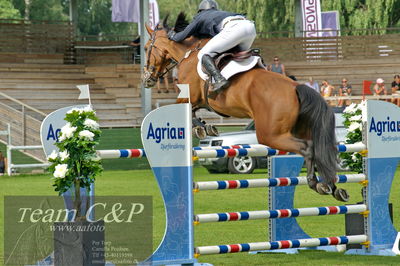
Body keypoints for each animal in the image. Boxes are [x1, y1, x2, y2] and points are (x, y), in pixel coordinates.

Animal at [143, 16, 346, 202]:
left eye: (145, 48)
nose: (147, 79)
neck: (188, 53)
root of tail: (296, 87)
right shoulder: (198, 101)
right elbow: (193, 111)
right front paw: (206, 127)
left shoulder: (189, 96)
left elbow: (182, 107)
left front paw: (201, 128)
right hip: (296, 129)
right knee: (319, 150)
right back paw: (333, 188)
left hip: (270, 135)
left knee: (307, 148)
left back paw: (316, 184)